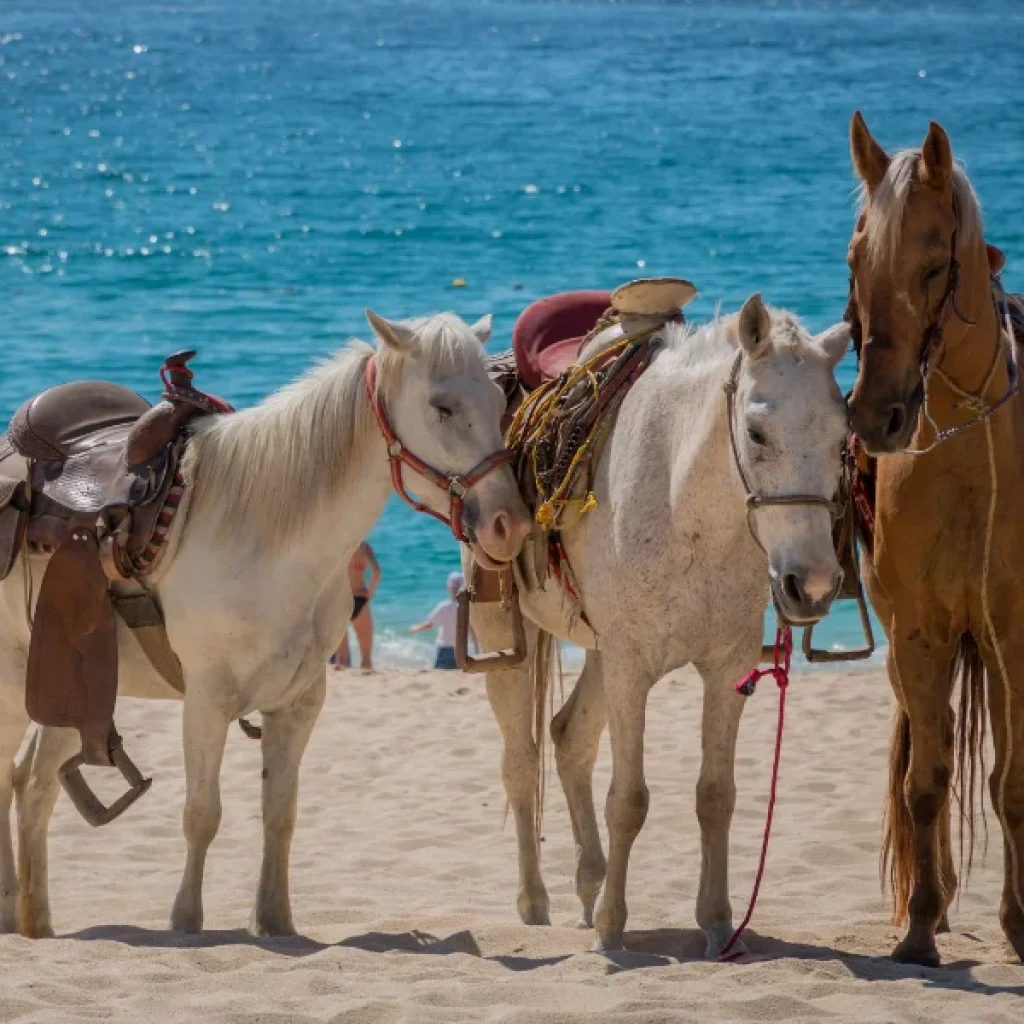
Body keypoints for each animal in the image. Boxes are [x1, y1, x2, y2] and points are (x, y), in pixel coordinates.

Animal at [0, 310, 531, 939]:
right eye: (442, 406)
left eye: (498, 400)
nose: (510, 524)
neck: (265, 538)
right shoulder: (207, 700)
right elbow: (201, 814)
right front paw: (186, 922)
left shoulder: (299, 701)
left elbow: (280, 813)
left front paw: (275, 920)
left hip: (66, 685)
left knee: (32, 785)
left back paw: (33, 921)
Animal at [470, 294, 850, 956]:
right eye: (757, 433)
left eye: (842, 435)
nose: (814, 584)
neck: (682, 502)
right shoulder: (632, 671)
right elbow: (629, 800)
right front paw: (613, 931)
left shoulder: (724, 669)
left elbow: (716, 796)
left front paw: (718, 923)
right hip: (509, 635)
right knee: (521, 760)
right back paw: (535, 902)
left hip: (600, 651)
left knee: (569, 737)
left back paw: (587, 885)